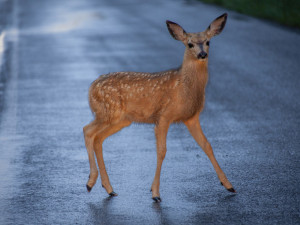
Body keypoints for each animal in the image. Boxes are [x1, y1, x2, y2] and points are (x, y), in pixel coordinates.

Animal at [83, 12, 236, 202]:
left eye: (208, 42)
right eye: (190, 44)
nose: (202, 54)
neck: (184, 87)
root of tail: (91, 87)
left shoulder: (191, 117)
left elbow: (207, 145)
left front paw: (229, 185)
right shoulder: (164, 115)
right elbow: (162, 151)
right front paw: (155, 193)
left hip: (120, 120)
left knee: (98, 138)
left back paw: (109, 188)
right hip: (107, 112)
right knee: (88, 131)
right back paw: (90, 182)